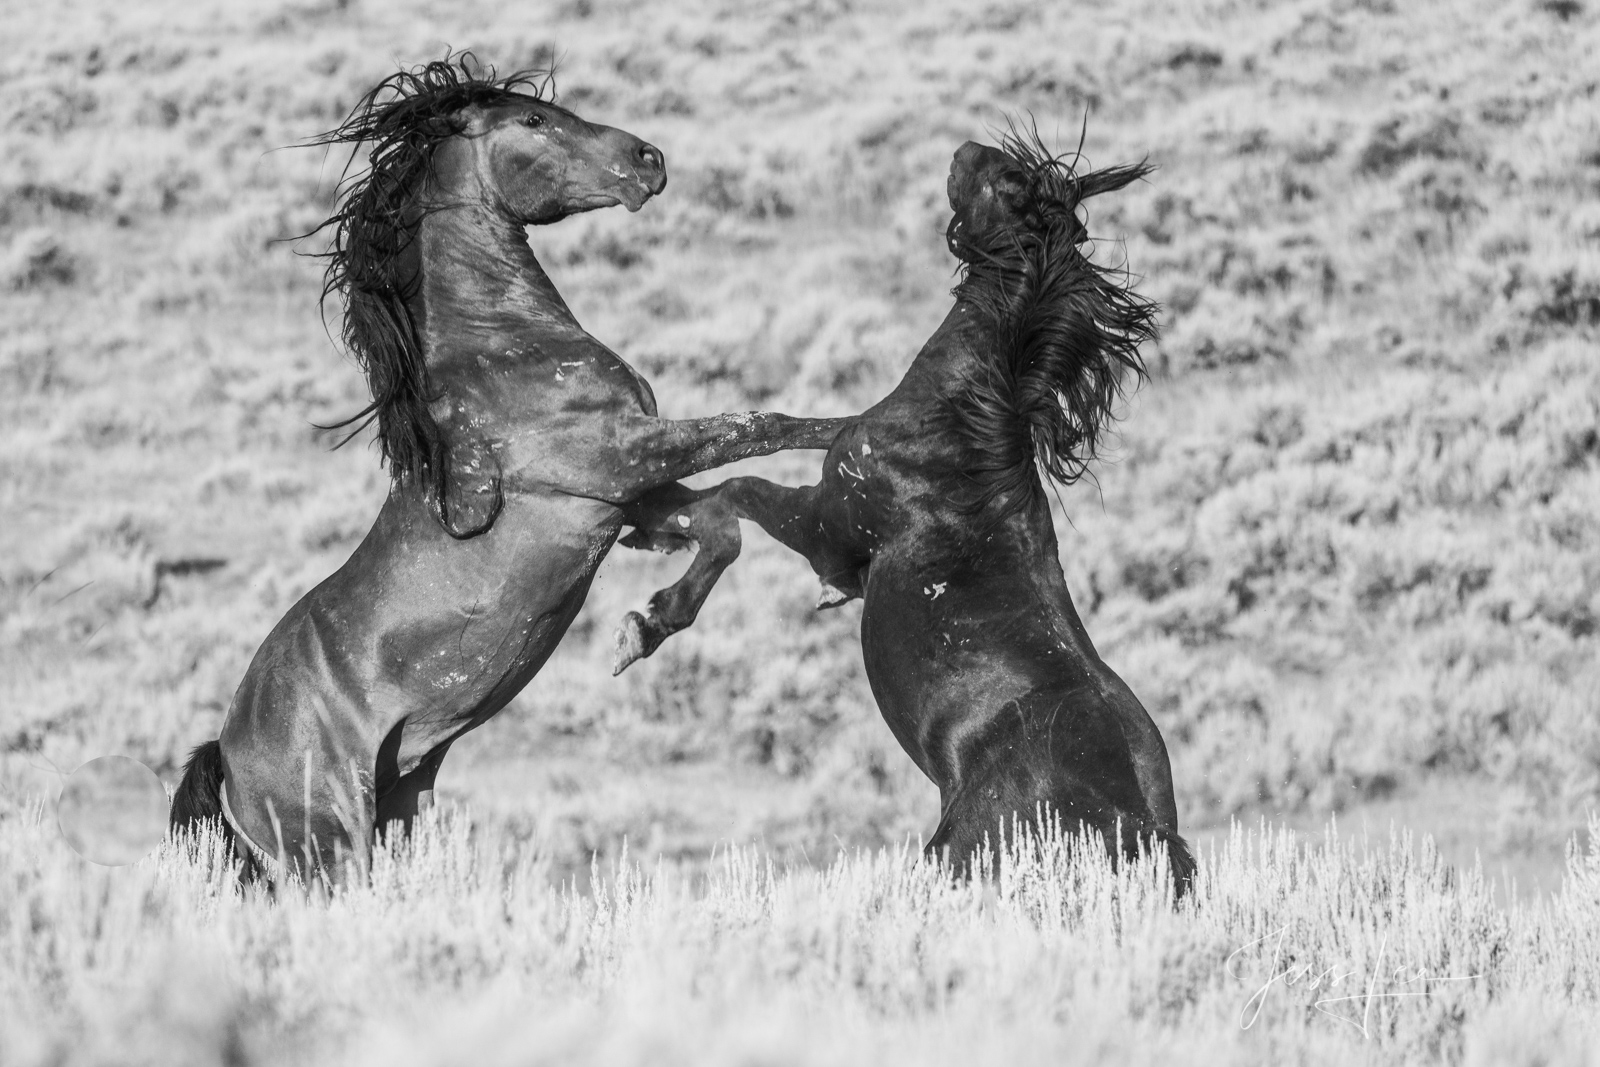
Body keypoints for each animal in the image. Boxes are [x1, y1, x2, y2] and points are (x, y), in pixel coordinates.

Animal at [172, 54, 851, 883]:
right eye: (531, 121)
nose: (649, 159)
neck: (503, 344)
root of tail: (229, 753)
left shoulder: (628, 496)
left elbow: (721, 521)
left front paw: (645, 625)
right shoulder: (619, 457)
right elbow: (763, 425)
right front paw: (865, 429)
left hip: (398, 805)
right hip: (333, 842)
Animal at [617, 125, 1196, 895]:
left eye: (1012, 181)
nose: (966, 148)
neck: (961, 430)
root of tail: (1137, 828)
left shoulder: (825, 531)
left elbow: (736, 500)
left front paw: (648, 606)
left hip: (951, 854)